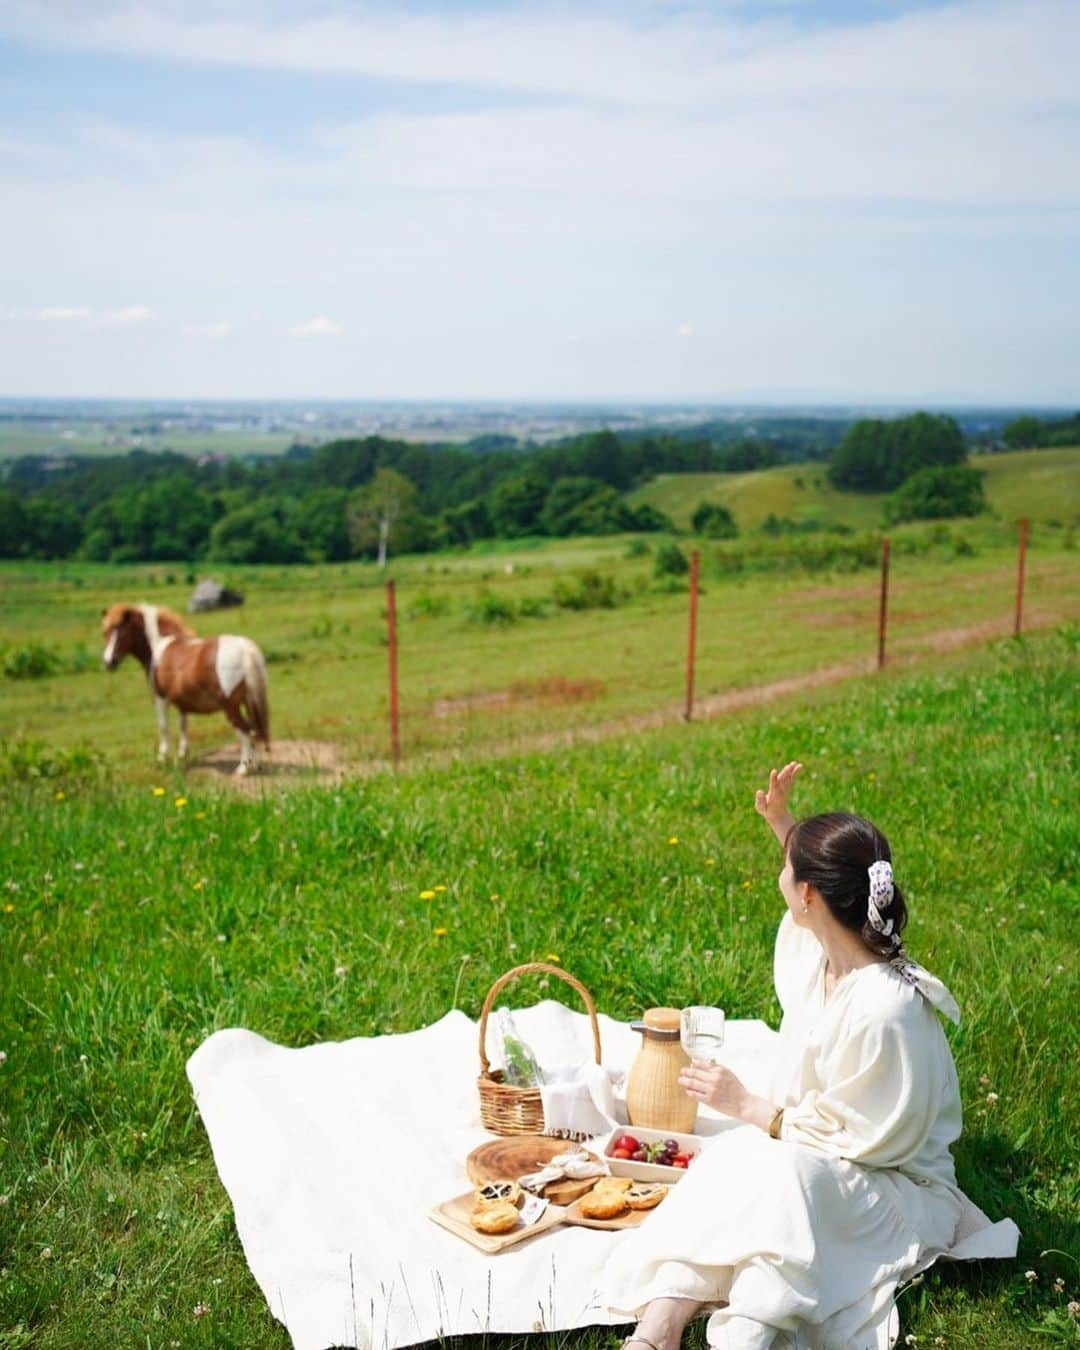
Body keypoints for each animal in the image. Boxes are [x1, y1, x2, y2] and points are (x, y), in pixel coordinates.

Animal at [100, 604, 270, 777]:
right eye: (105, 633)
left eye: (122, 634)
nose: (109, 662)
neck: (158, 647)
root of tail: (245, 648)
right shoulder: (182, 701)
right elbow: (183, 725)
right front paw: (182, 754)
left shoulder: (160, 697)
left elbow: (163, 726)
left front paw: (163, 758)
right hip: (248, 701)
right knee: (254, 730)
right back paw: (255, 764)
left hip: (231, 707)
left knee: (245, 731)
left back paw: (243, 768)